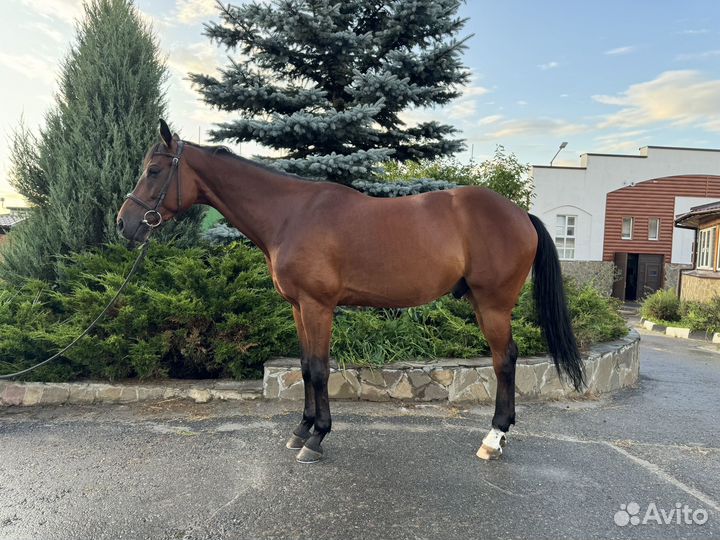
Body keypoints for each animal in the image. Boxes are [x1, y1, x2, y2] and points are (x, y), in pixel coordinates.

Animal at [117, 119, 584, 464]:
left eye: (154, 171)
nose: (125, 224)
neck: (291, 214)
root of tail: (520, 214)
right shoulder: (298, 308)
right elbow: (305, 366)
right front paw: (301, 429)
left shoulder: (318, 306)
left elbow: (321, 369)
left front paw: (317, 439)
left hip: (493, 304)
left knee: (505, 361)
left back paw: (493, 438)